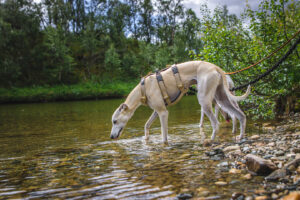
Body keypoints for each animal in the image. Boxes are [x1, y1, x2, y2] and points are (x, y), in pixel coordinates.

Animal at [110, 61, 251, 144]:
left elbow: (164, 135)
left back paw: (210, 141)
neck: (143, 89)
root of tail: (214, 66)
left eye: (115, 121)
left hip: (205, 100)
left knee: (216, 124)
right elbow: (146, 125)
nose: (111, 137)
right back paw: (240, 136)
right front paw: (146, 139)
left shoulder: (163, 112)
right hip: (222, 98)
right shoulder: (157, 110)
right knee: (241, 116)